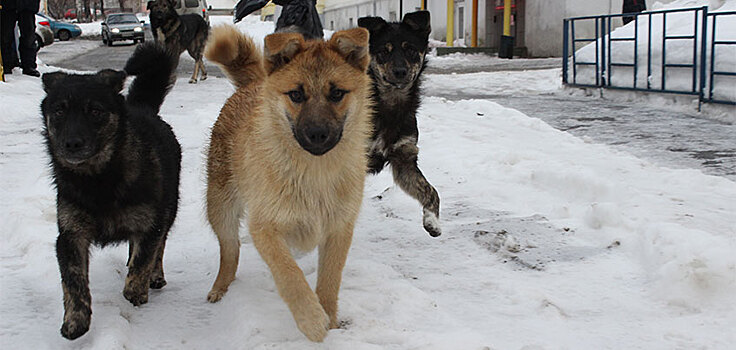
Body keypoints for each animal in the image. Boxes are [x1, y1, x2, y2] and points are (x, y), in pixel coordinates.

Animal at [42, 43, 183, 340]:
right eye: (59, 111)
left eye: (95, 111)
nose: (72, 143)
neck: (98, 178)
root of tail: (141, 108)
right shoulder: (70, 235)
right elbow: (74, 281)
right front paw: (76, 321)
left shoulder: (150, 225)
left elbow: (142, 263)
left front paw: (136, 293)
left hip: (169, 209)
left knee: (160, 246)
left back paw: (155, 275)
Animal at [203, 25, 370, 342]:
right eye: (296, 94)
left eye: (337, 93)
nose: (317, 134)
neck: (314, 173)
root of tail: (253, 85)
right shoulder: (265, 227)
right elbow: (289, 274)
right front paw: (311, 320)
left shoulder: (339, 228)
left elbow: (329, 279)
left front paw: (329, 319)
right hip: (221, 207)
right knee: (230, 249)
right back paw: (221, 287)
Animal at [358, 12, 440, 239]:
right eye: (383, 52)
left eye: (410, 49)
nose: (400, 71)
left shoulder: (404, 160)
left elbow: (430, 191)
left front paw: (432, 222)